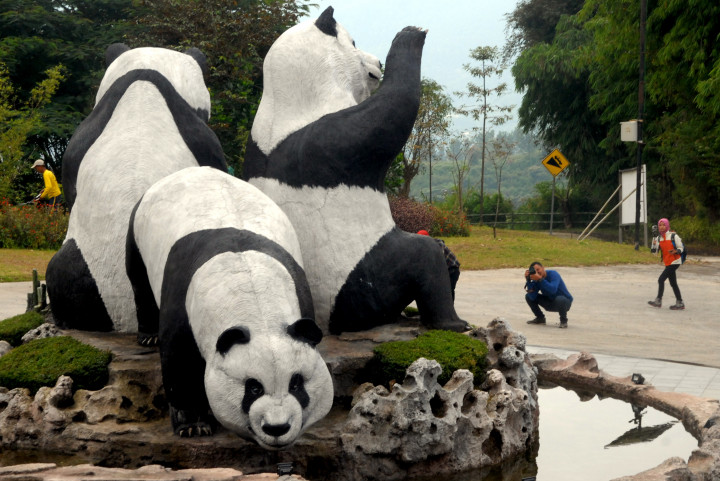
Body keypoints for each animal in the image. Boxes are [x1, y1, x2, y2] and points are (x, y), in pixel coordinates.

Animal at [126, 166, 333, 446]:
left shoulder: (300, 294)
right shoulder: (183, 300)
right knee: (139, 281)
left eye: (296, 384)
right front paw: (193, 426)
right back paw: (148, 337)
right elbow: (179, 361)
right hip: (137, 232)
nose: (277, 428)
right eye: (253, 387)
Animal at [243, 7, 469, 335]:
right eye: (353, 42)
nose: (377, 63)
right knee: (421, 259)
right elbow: (390, 114)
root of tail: (332, 320)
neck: (288, 102)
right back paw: (451, 321)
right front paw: (410, 34)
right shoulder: (329, 140)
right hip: (367, 275)